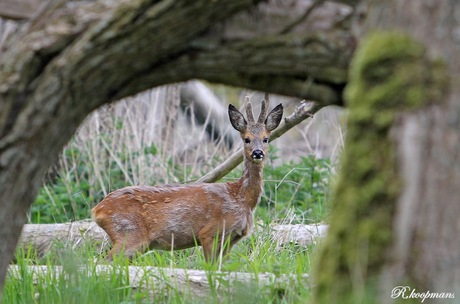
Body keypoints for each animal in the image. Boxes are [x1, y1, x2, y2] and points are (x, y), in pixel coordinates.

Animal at [91, 96, 282, 262]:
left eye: (266, 139)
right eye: (246, 139)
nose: (258, 153)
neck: (241, 198)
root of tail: (97, 210)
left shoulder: (231, 239)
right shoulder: (210, 232)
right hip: (129, 234)